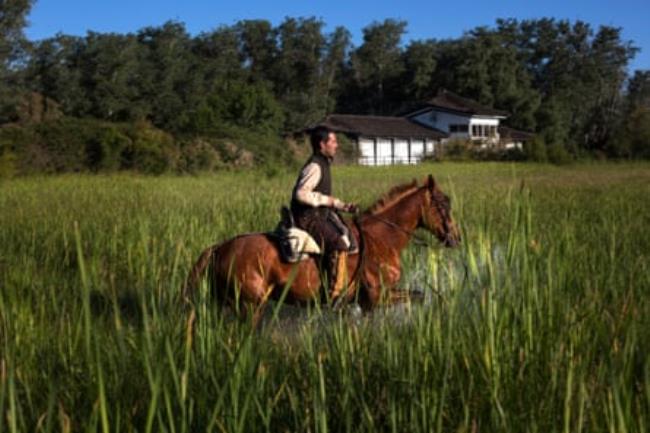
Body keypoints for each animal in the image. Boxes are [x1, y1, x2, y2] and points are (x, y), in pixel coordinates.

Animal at [181, 174, 456, 318]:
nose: (456, 238)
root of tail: (219, 248)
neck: (382, 238)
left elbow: (419, 295)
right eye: (442, 204)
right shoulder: (375, 297)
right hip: (250, 306)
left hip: (228, 302)